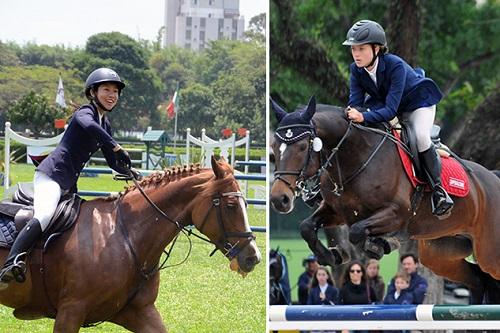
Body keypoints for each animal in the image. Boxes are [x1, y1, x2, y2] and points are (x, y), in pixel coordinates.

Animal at [272, 95, 500, 300]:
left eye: (303, 147)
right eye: (274, 148)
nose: (279, 199)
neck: (355, 157)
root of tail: (493, 178)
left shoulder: (396, 213)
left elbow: (357, 231)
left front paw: (382, 243)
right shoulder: (336, 211)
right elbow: (307, 227)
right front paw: (334, 255)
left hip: (488, 251)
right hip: (440, 251)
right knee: (479, 279)